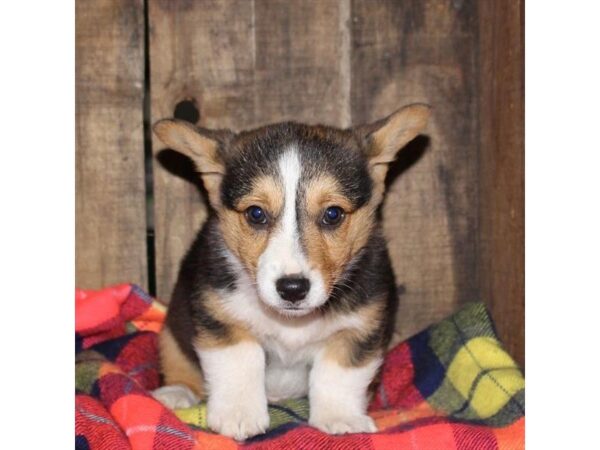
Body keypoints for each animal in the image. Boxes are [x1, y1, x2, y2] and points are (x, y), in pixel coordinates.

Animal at [152, 104, 428, 440]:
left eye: (332, 214)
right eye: (256, 214)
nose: (292, 289)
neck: (291, 321)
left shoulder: (360, 329)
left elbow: (339, 374)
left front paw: (341, 419)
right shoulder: (220, 317)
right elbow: (240, 360)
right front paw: (238, 416)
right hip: (172, 329)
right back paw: (175, 393)